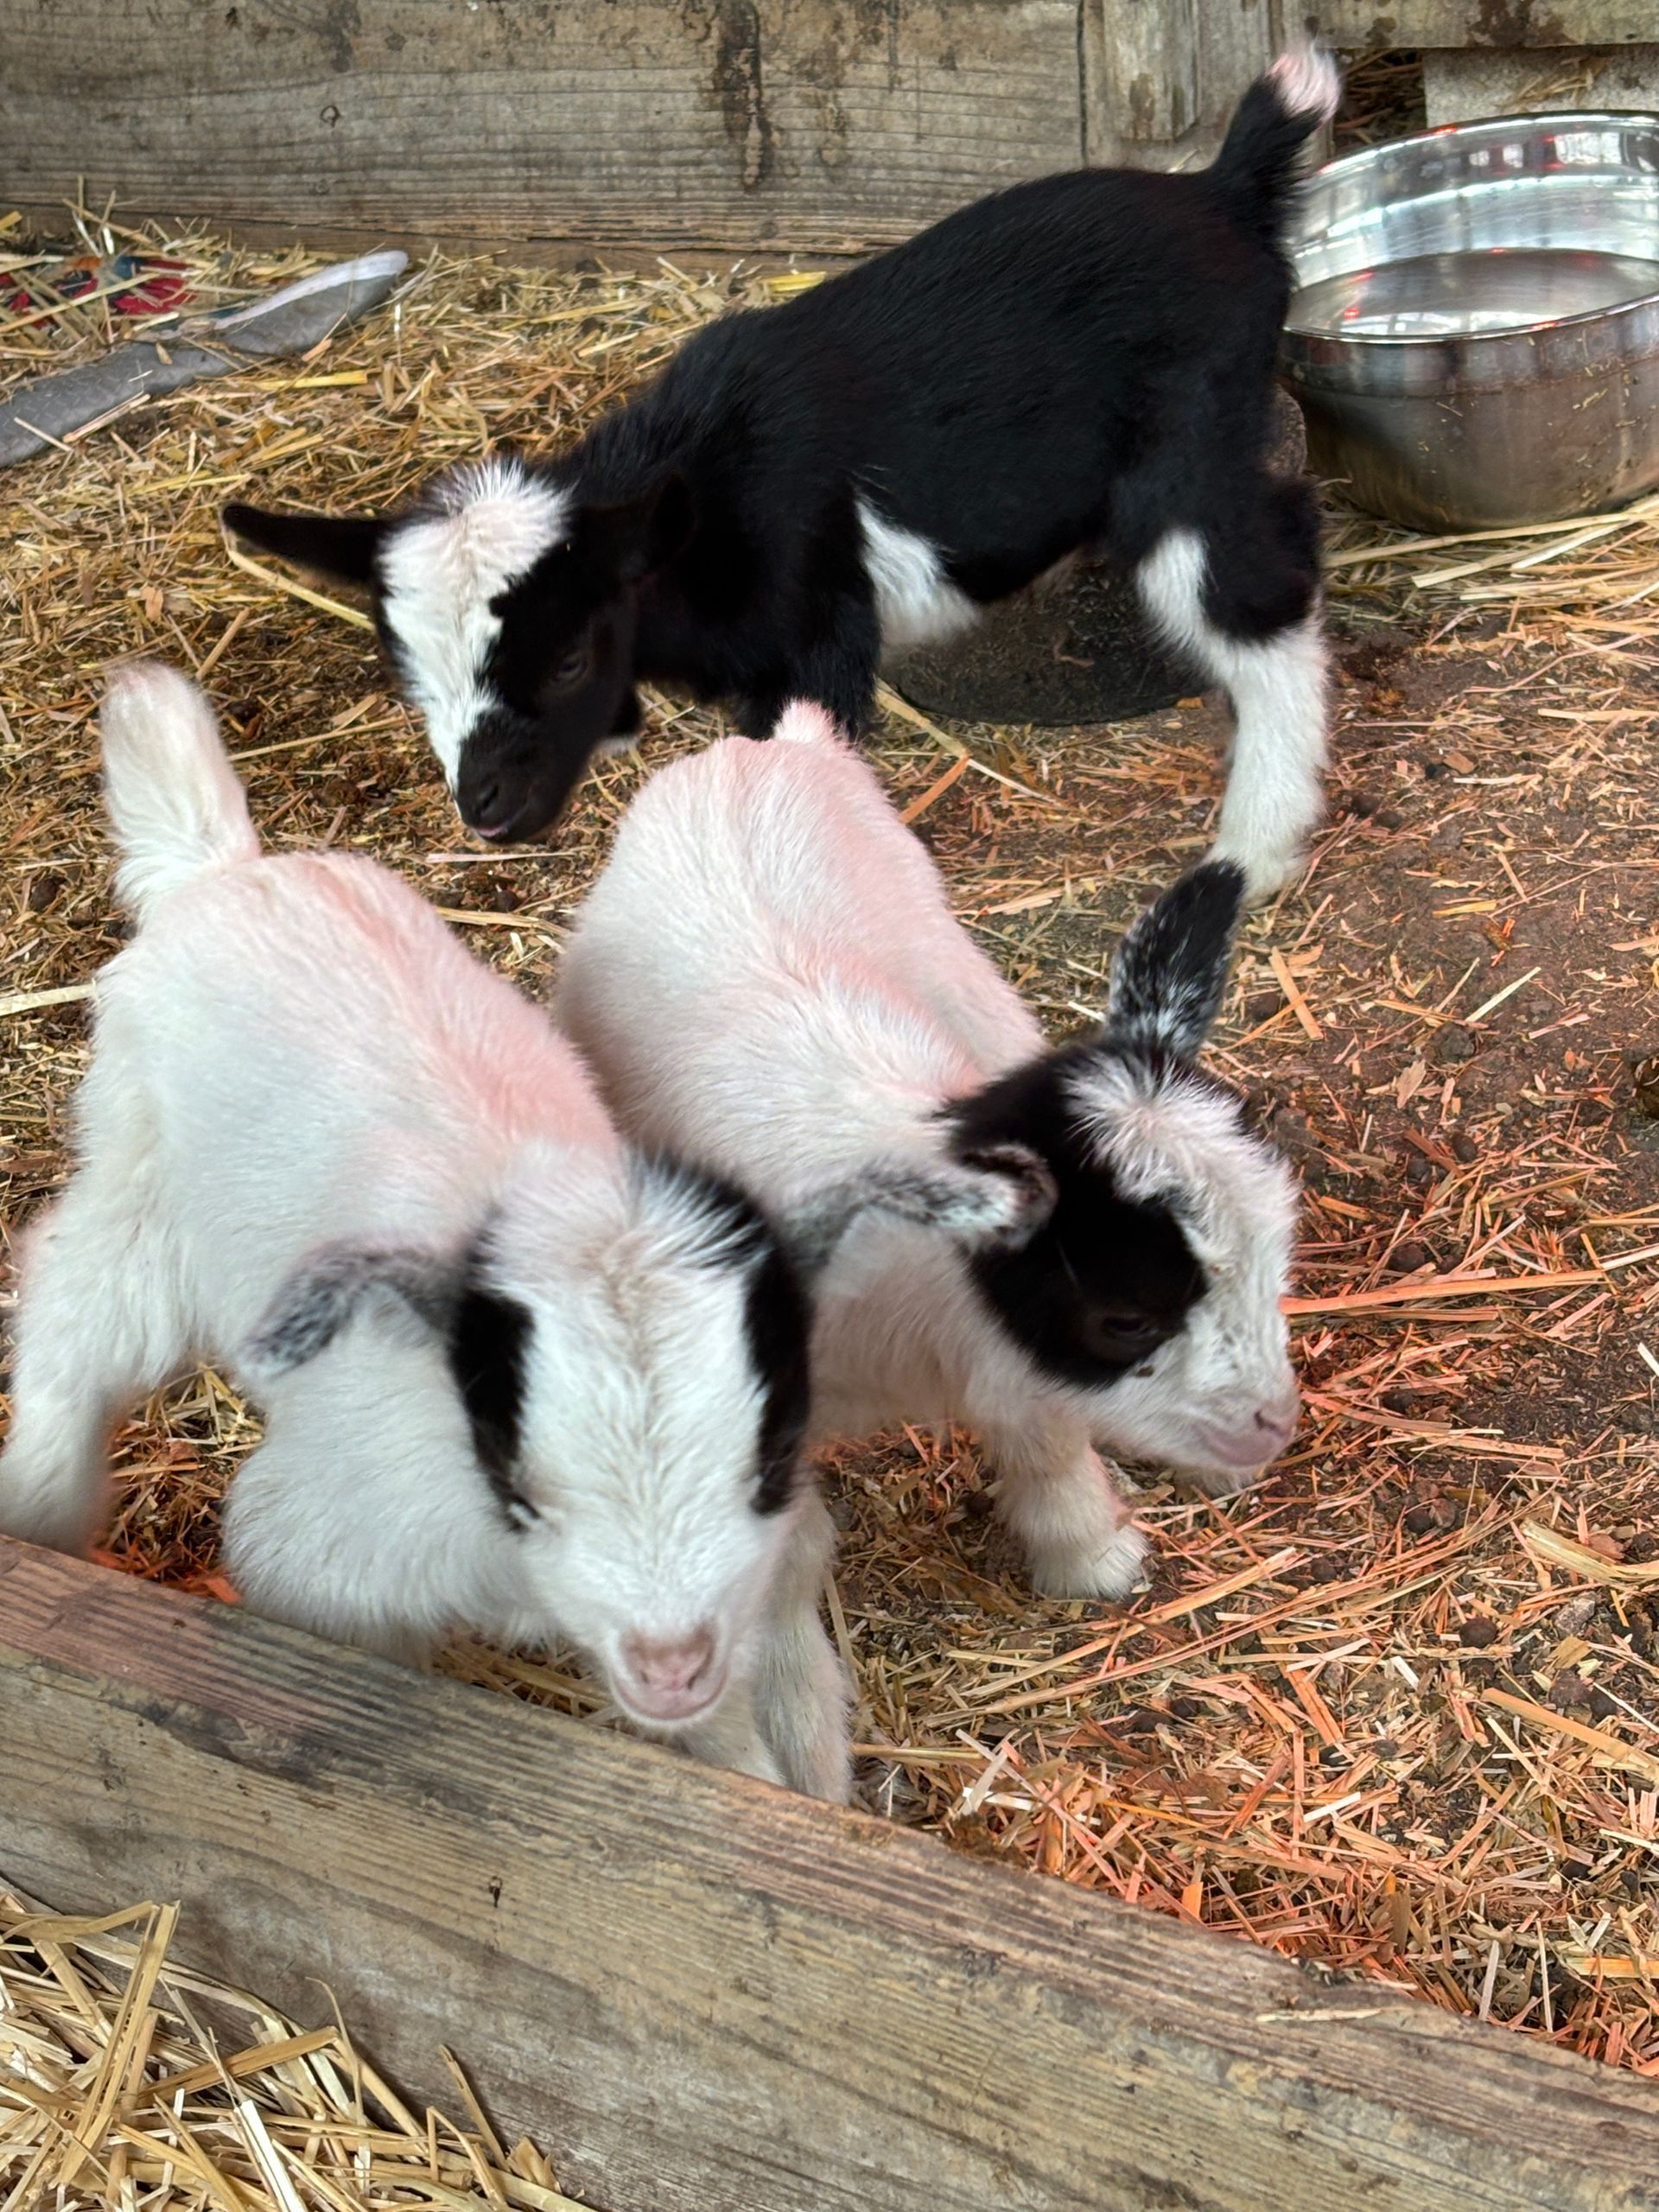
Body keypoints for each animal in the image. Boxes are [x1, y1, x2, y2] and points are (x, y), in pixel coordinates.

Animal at [0, 664, 1043, 1799]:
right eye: (518, 1475)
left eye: (765, 1456)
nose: (670, 1660)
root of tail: (221, 873)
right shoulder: (320, 1551)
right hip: (140, 1179)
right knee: (72, 1311)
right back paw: (39, 1511)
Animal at [223, 47, 1338, 898]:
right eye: (407, 673)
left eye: (575, 656)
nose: (485, 807)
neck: (700, 513)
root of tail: (1223, 191)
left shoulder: (818, 637)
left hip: (1185, 452)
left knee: (1259, 599)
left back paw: (1255, 848)